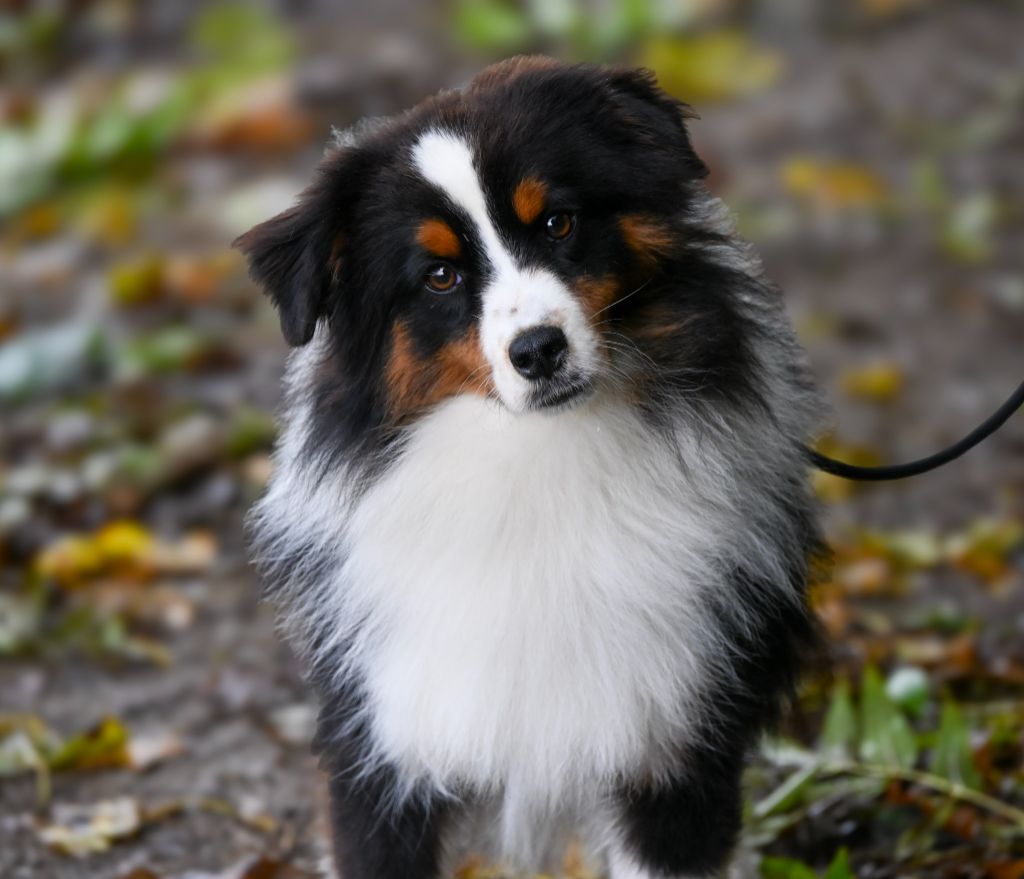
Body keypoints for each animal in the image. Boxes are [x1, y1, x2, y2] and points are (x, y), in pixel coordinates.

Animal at [237, 56, 823, 876]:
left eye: (557, 223)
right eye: (440, 275)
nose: (539, 350)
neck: (533, 460)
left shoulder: (671, 739)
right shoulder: (387, 740)